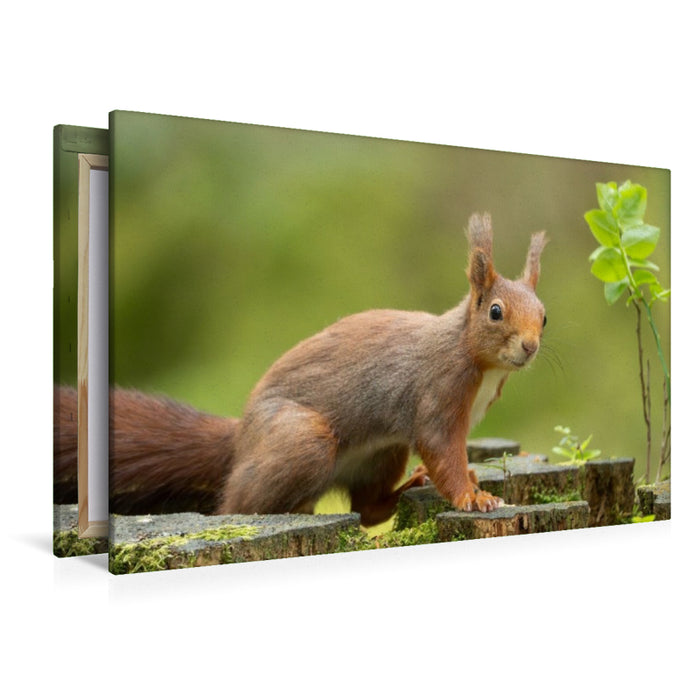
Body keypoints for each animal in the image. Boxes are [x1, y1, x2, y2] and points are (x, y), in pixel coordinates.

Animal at [54, 212, 547, 526]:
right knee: (236, 506)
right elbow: (443, 450)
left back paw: (405, 487)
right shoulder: (437, 393)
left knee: (367, 508)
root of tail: (242, 439)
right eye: (496, 312)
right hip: (300, 440)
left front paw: (469, 482)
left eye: (544, 316)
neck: (475, 359)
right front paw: (473, 496)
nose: (530, 346)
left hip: (381, 451)